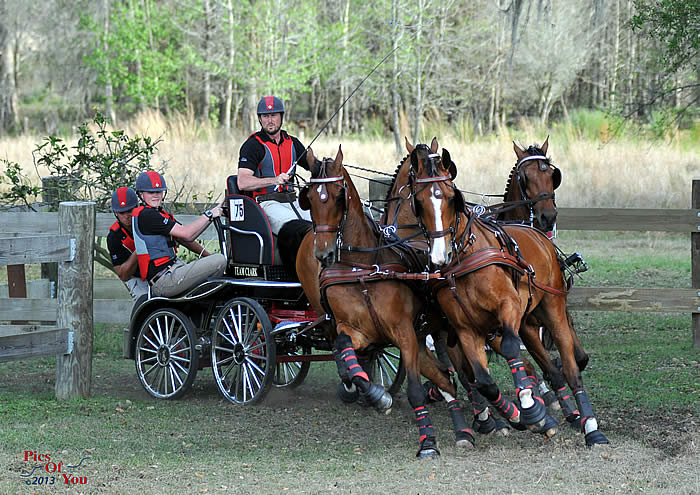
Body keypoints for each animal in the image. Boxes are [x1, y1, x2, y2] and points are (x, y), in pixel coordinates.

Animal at [296, 147, 482, 462]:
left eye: (337, 196)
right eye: (308, 197)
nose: (324, 254)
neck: (362, 266)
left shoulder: (404, 333)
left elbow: (416, 391)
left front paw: (428, 443)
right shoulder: (355, 331)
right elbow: (345, 354)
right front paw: (375, 394)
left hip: (444, 334)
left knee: (459, 376)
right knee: (447, 379)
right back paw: (464, 430)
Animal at [408, 140, 608, 450]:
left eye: (453, 198)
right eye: (418, 202)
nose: (440, 256)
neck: (465, 258)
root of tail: (536, 233)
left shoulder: (508, 308)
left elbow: (514, 351)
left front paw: (531, 408)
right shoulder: (465, 330)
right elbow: (483, 381)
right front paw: (519, 416)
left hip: (552, 309)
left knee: (571, 369)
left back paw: (591, 427)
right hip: (526, 324)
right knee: (547, 369)